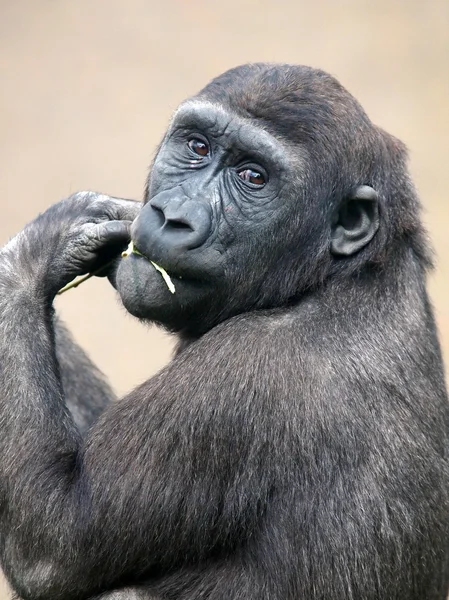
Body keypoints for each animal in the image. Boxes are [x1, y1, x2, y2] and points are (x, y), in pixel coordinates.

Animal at [0, 65, 448, 600]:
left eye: (253, 177)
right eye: (196, 146)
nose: (173, 216)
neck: (340, 272)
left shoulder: (243, 375)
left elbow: (53, 540)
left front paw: (37, 251)